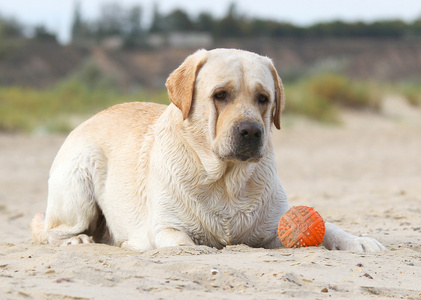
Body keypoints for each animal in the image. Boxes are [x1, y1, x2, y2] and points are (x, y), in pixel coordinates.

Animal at [30, 48, 384, 251]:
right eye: (220, 95)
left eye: (263, 99)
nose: (251, 131)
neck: (225, 182)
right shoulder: (164, 227)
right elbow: (181, 240)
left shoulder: (273, 225)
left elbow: (331, 229)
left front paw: (359, 241)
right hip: (78, 182)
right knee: (50, 229)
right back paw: (76, 239)